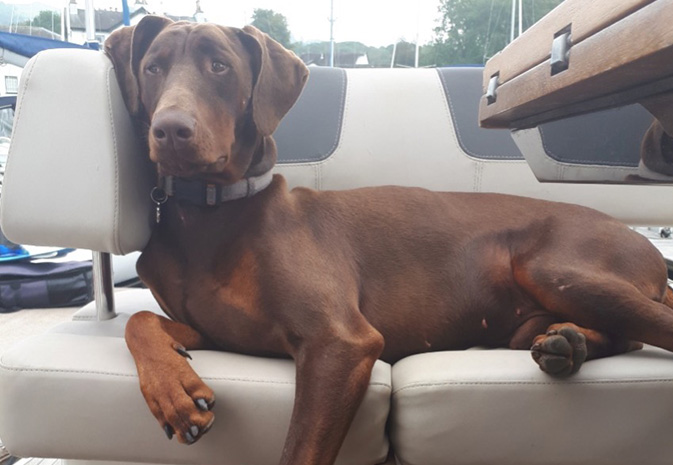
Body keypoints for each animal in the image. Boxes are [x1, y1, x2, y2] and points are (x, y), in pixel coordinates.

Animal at [105, 15, 673, 465]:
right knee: (619, 335)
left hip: (554, 268)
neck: (207, 215)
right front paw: (175, 388)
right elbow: (139, 319)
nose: (170, 130)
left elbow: (300, 450)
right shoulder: (224, 331)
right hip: (529, 319)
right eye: (153, 67)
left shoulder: (341, 342)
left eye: (220, 67)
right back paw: (567, 343)